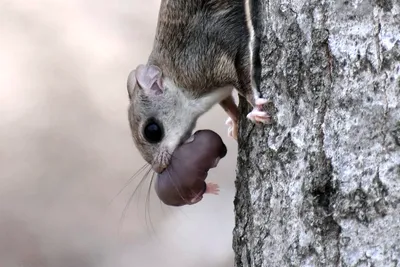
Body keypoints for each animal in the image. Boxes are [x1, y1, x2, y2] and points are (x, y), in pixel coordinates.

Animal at [128, 0, 272, 174]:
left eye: (152, 131)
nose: (158, 168)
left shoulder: (210, 60)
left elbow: (244, 77)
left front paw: (255, 107)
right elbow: (227, 103)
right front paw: (236, 120)